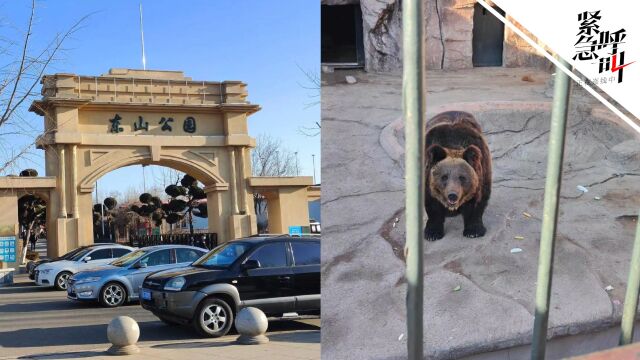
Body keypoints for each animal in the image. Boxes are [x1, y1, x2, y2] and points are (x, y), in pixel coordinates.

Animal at [428, 111, 492, 240]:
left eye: (462, 177)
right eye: (444, 177)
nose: (452, 195)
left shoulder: (481, 168)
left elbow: (477, 200)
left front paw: (474, 231)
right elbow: (432, 203)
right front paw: (432, 233)